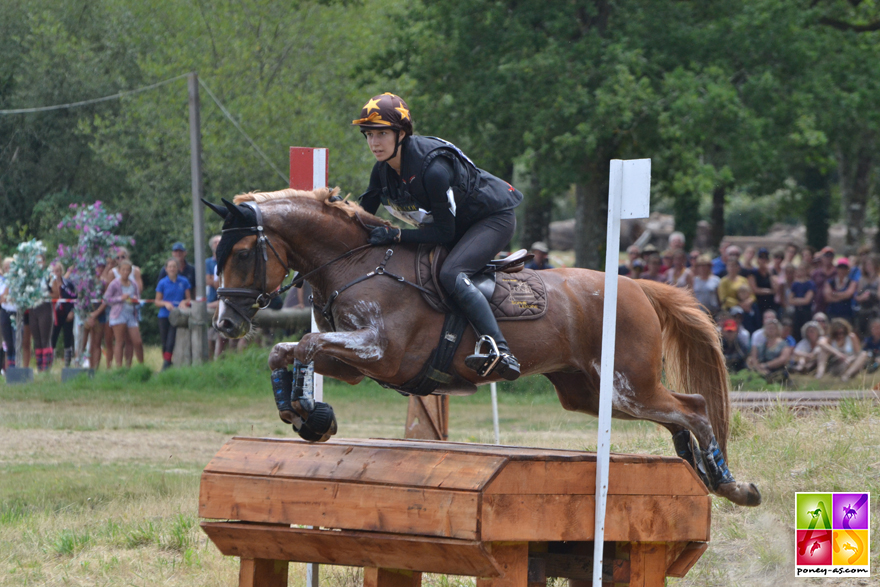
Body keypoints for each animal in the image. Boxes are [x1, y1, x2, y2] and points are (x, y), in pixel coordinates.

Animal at [206, 186, 764, 508]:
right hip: (589, 393)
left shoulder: (381, 353)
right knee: (679, 413)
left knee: (693, 408)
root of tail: (639, 286)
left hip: (627, 386)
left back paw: (732, 484)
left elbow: (303, 343)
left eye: (241, 252)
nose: (226, 323)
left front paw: (311, 415)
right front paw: (303, 414)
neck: (359, 261)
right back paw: (702, 470)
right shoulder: (354, 363)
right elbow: (288, 349)